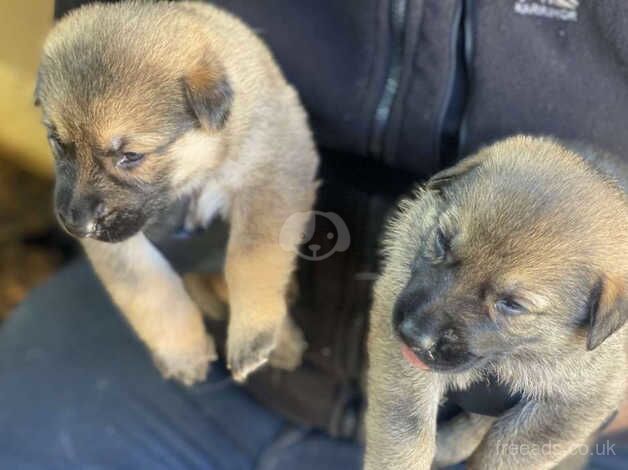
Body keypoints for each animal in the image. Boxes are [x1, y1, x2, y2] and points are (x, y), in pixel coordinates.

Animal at [35, 1, 318, 386]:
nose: (73, 224)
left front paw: (252, 334)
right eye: (56, 142)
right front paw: (185, 351)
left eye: (131, 156)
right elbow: (151, 291)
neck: (200, 168)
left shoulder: (272, 174)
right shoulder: (123, 243)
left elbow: (251, 256)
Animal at [366, 134, 628, 468]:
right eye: (441, 240)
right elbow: (406, 430)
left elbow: (508, 450)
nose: (412, 334)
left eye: (512, 304)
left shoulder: (579, 403)